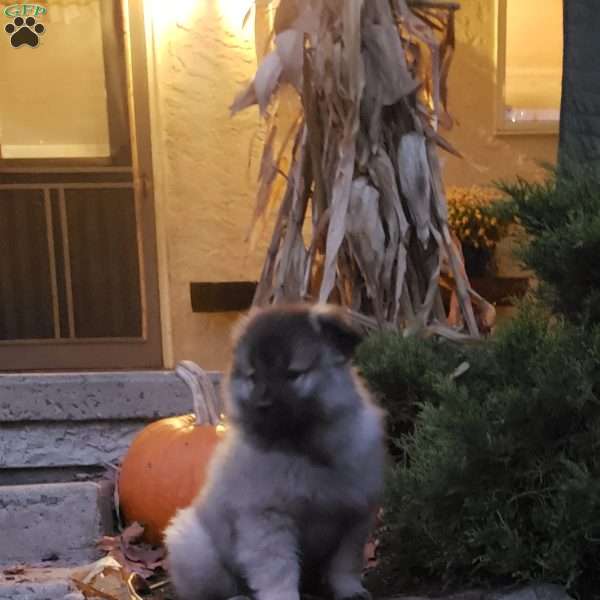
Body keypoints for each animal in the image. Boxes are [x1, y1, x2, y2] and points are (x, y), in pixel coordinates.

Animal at [165, 304, 384, 600]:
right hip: (197, 551)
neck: (304, 449)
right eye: (253, 377)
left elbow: (345, 563)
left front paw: (350, 590)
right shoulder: (267, 519)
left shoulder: (355, 517)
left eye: (293, 374)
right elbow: (278, 571)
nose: (262, 405)